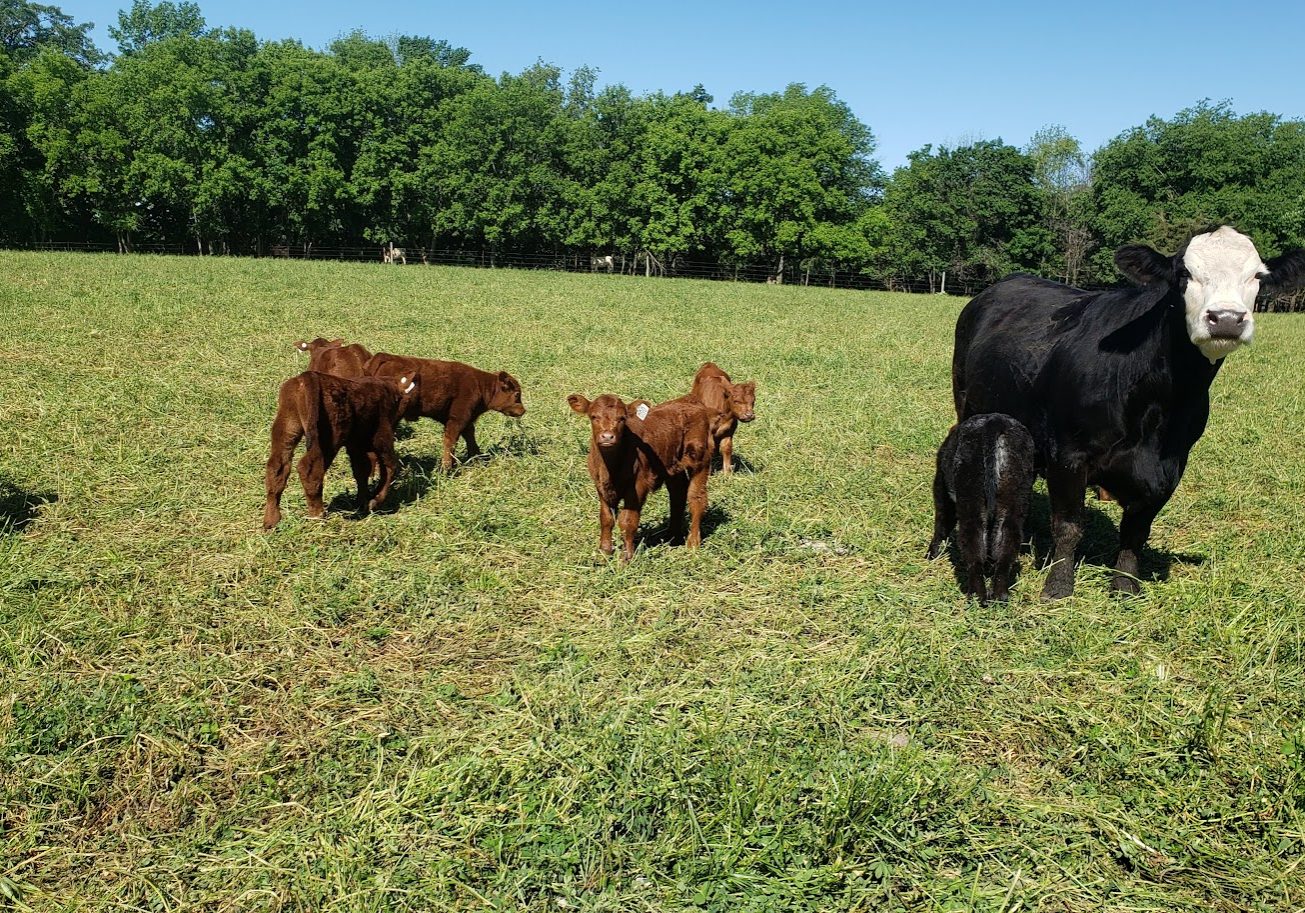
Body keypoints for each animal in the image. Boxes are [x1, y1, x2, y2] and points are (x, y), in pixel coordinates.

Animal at [267, 370, 420, 532]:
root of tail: (307, 376)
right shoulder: (382, 436)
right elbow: (390, 466)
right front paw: (374, 501)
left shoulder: (356, 444)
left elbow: (361, 470)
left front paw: (362, 502)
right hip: (329, 438)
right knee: (309, 469)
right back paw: (317, 517)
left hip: (287, 427)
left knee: (277, 467)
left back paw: (271, 522)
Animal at [362, 352, 524, 469]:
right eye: (517, 394)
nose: (523, 410)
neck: (481, 385)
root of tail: (385, 356)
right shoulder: (457, 418)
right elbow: (450, 441)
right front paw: (447, 468)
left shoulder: (464, 419)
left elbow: (470, 437)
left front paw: (477, 458)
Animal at [566, 393, 715, 560]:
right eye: (593, 417)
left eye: (622, 418)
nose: (607, 437)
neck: (610, 469)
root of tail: (690, 400)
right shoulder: (601, 485)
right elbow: (606, 518)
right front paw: (604, 552)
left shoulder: (638, 485)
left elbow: (627, 521)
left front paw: (626, 557)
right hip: (673, 465)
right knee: (677, 494)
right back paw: (673, 537)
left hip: (700, 458)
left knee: (696, 498)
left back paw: (693, 542)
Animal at [934, 414, 1033, 605]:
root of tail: (995, 421)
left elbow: (942, 522)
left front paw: (931, 554)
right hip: (1014, 500)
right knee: (1006, 546)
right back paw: (1000, 596)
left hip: (970, 501)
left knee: (973, 545)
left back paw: (977, 596)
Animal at [950, 226, 1305, 599]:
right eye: (1184, 274)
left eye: (1258, 277)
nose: (1226, 319)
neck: (1160, 405)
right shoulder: (1067, 454)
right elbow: (1069, 526)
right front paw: (1058, 586)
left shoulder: (1172, 466)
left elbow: (1136, 531)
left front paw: (1124, 585)